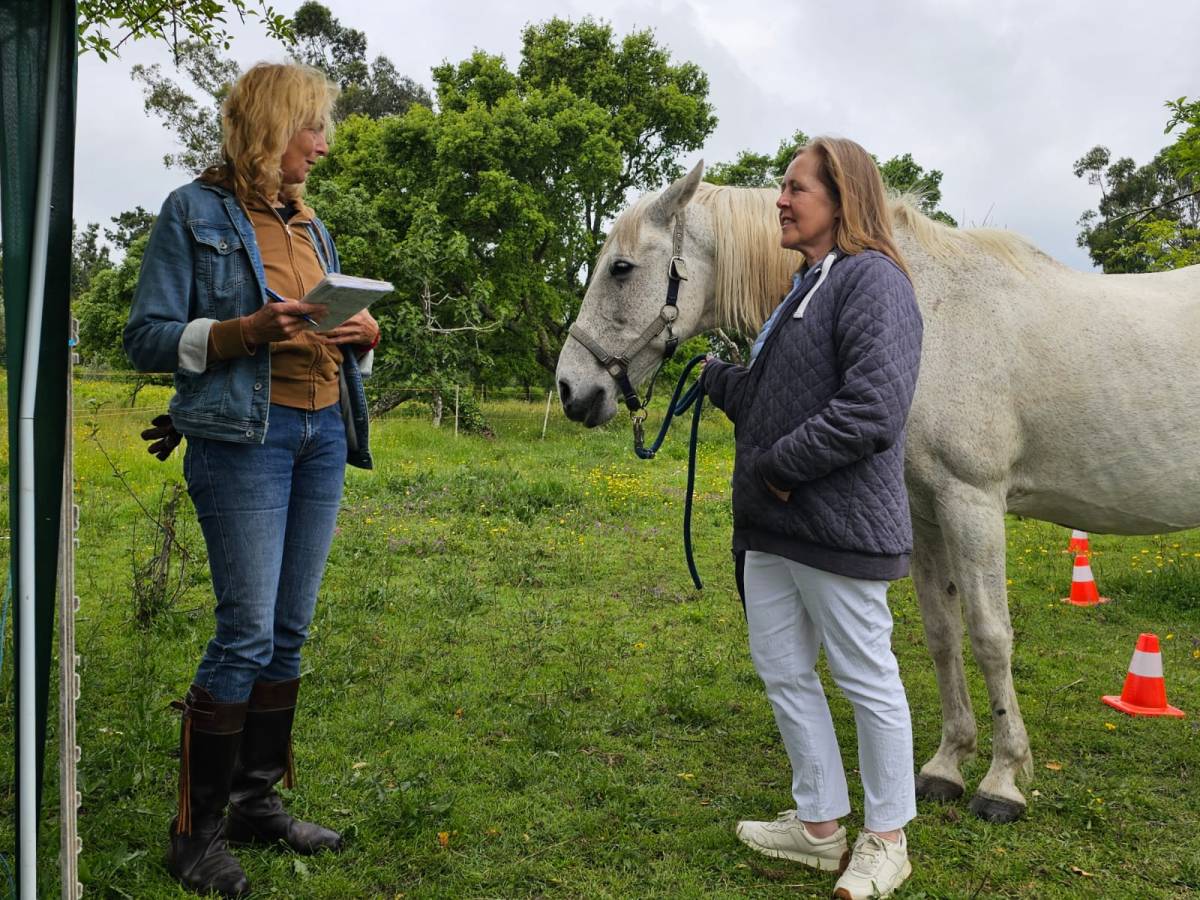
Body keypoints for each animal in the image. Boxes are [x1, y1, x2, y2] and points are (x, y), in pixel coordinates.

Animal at [556, 162, 1200, 825]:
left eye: (621, 268)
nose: (571, 390)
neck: (930, 312)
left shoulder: (972, 503)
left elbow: (990, 637)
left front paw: (1002, 779)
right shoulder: (926, 511)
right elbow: (943, 633)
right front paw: (947, 766)